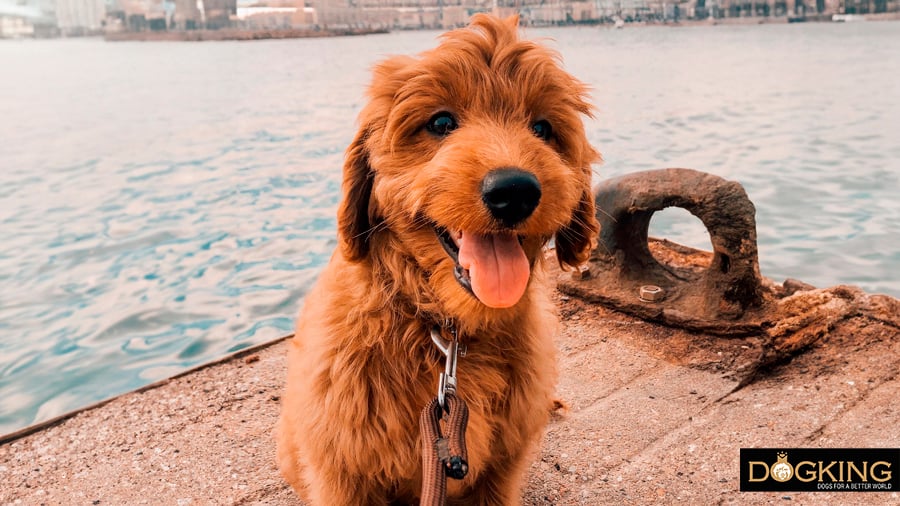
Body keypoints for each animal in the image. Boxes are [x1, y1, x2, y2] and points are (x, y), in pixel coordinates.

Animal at [274, 13, 596, 504]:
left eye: (542, 128)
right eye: (441, 122)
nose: (515, 191)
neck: (446, 336)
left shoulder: (501, 470)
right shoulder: (342, 471)